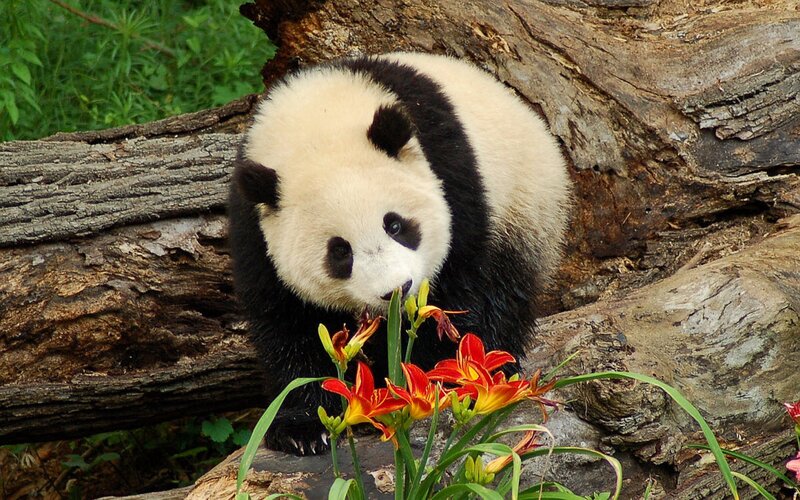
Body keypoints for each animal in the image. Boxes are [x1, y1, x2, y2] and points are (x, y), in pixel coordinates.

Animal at [228, 52, 571, 455]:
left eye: (394, 225)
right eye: (339, 251)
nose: (396, 290)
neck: (318, 122)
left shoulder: (452, 176)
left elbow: (460, 288)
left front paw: (431, 383)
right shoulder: (253, 226)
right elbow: (286, 319)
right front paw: (303, 428)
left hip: (522, 205)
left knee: (505, 291)